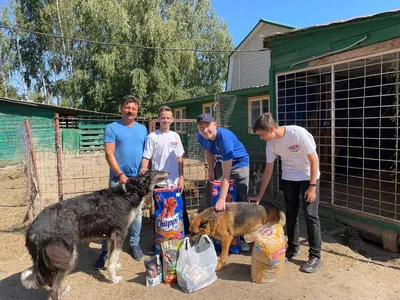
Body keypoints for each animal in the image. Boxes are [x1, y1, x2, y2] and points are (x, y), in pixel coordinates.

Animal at [20, 171, 169, 300]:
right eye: (155, 172)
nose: (167, 172)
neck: (129, 192)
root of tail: (33, 230)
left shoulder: (110, 236)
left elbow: (111, 258)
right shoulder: (118, 234)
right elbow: (112, 262)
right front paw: (114, 279)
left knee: (50, 282)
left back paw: (63, 289)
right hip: (67, 256)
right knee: (53, 290)